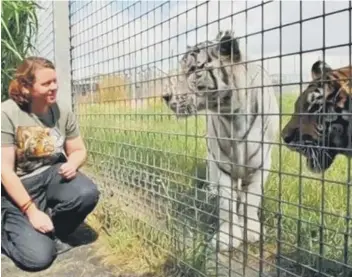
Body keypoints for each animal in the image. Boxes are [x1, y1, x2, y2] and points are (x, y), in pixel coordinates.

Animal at [162, 30, 280, 250]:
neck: (233, 115)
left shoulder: (261, 164)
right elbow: (227, 203)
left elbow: (252, 199)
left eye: (194, 70)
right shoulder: (223, 163)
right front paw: (227, 237)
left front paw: (251, 231)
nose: (165, 96)